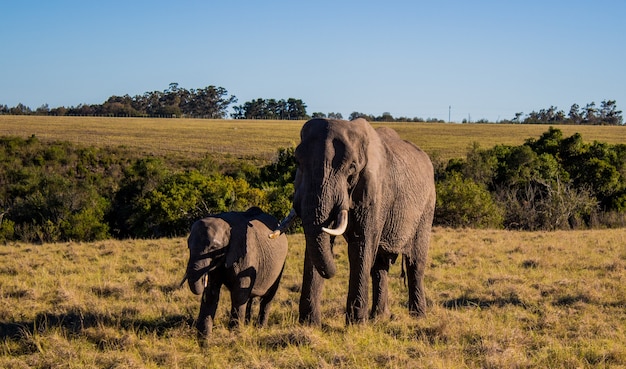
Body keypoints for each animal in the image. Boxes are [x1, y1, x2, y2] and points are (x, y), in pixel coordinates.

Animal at [180, 206, 288, 338]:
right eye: (188, 246)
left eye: (213, 248)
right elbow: (212, 293)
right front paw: (204, 339)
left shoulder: (246, 254)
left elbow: (238, 294)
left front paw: (235, 335)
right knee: (249, 297)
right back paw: (247, 324)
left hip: (280, 265)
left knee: (268, 297)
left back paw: (260, 328)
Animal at [270, 118, 436, 322]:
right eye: (298, 161)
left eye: (352, 168)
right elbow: (319, 241)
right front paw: (309, 323)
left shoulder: (375, 191)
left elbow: (361, 245)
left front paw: (356, 324)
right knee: (380, 266)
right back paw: (379, 317)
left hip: (427, 206)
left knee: (415, 263)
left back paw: (417, 317)